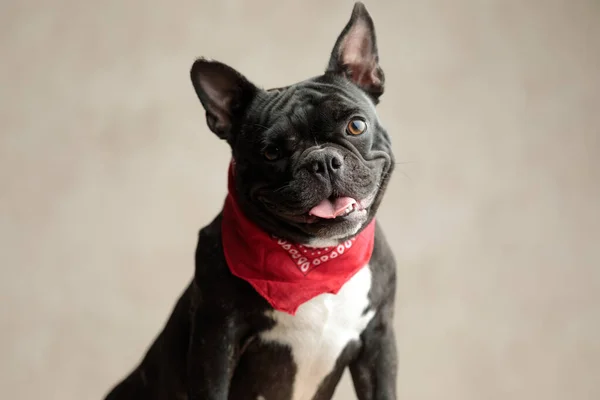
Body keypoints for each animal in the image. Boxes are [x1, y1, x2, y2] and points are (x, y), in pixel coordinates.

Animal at [106, 3, 398, 400]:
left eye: (356, 126)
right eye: (271, 152)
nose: (322, 161)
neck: (315, 261)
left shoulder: (378, 341)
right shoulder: (216, 340)